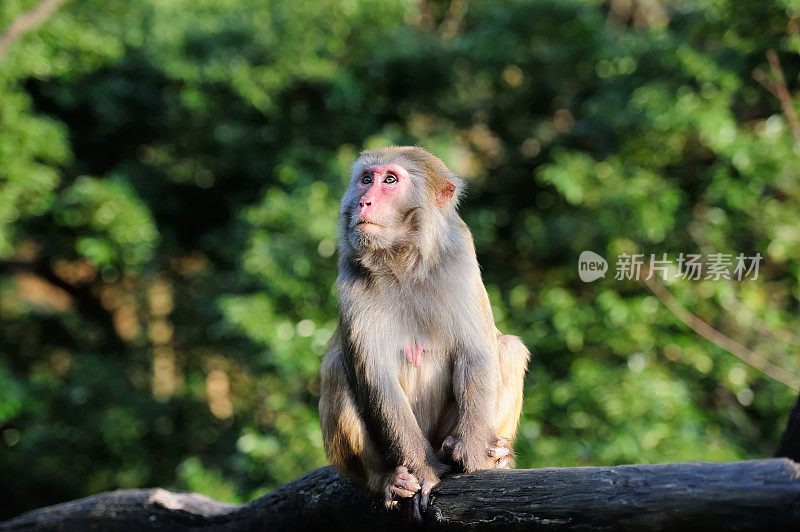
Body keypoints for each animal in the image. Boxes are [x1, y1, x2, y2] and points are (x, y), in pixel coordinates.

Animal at [318, 147, 532, 520]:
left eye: (390, 180)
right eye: (366, 179)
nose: (363, 202)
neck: (402, 260)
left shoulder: (461, 260)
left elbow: (477, 354)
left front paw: (475, 454)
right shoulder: (350, 282)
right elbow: (378, 380)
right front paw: (424, 473)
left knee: (507, 348)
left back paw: (497, 457)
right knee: (336, 369)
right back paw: (388, 479)